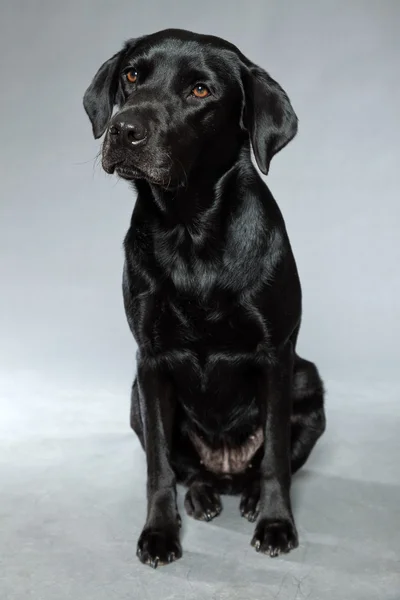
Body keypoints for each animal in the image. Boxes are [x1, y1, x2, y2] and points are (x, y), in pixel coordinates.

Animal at [83, 28, 324, 568]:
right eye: (132, 76)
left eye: (200, 90)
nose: (124, 129)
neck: (190, 230)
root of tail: (226, 468)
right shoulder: (149, 361)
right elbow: (158, 467)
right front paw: (159, 533)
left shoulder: (276, 353)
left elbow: (276, 457)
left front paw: (276, 524)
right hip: (134, 399)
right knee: (186, 468)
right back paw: (202, 494)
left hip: (308, 382)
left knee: (270, 460)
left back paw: (250, 496)